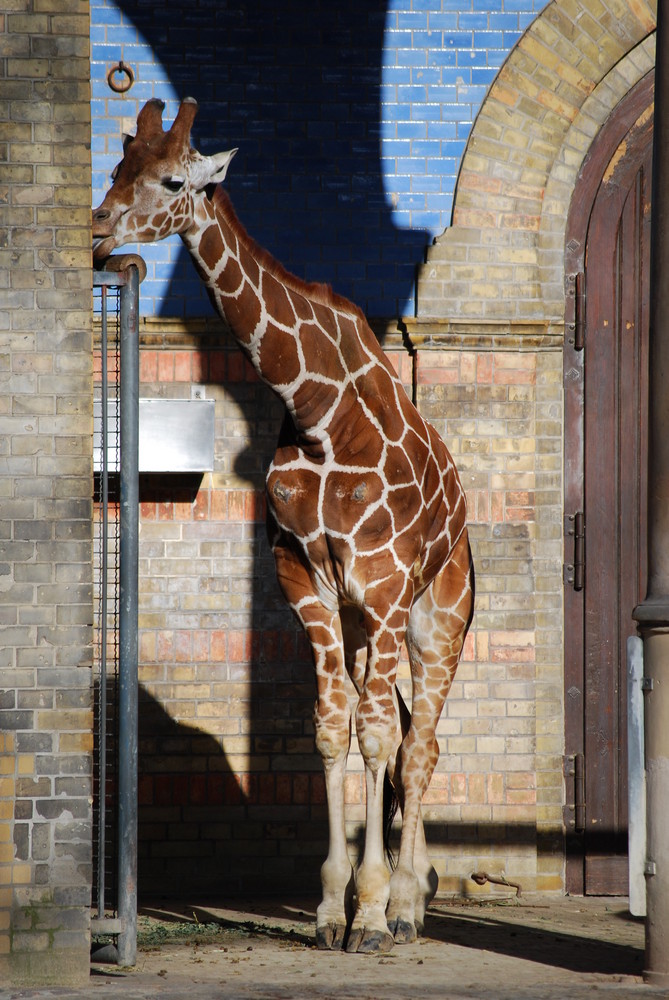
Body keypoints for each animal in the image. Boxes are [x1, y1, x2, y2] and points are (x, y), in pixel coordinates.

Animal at [92, 99, 474, 952]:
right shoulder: (306, 578)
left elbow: (377, 737)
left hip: (437, 616)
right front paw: (333, 907)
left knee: (422, 741)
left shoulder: (381, 581)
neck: (320, 411)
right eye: (117, 169)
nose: (97, 228)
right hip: (370, 624)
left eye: (172, 180)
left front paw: (372, 911)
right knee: (404, 731)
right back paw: (416, 888)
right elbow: (333, 728)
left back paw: (408, 905)